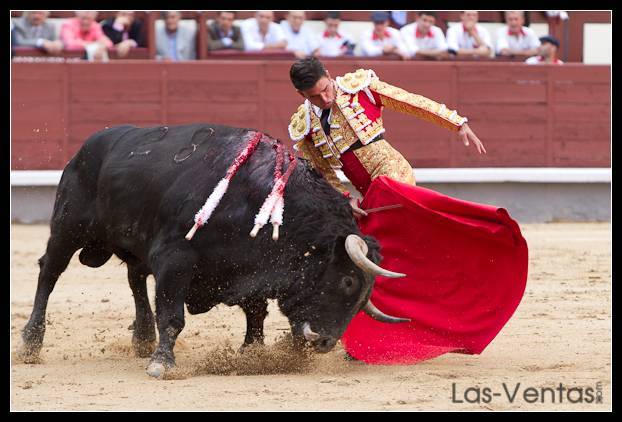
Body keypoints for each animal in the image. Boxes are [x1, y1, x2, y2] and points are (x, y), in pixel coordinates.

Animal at [19, 123, 410, 378]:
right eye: (347, 282)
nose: (326, 342)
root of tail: (87, 147)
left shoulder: (251, 266)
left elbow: (256, 311)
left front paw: (251, 353)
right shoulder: (174, 259)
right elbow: (173, 316)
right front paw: (162, 364)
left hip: (134, 242)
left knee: (134, 277)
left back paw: (142, 339)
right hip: (67, 228)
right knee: (49, 272)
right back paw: (31, 343)